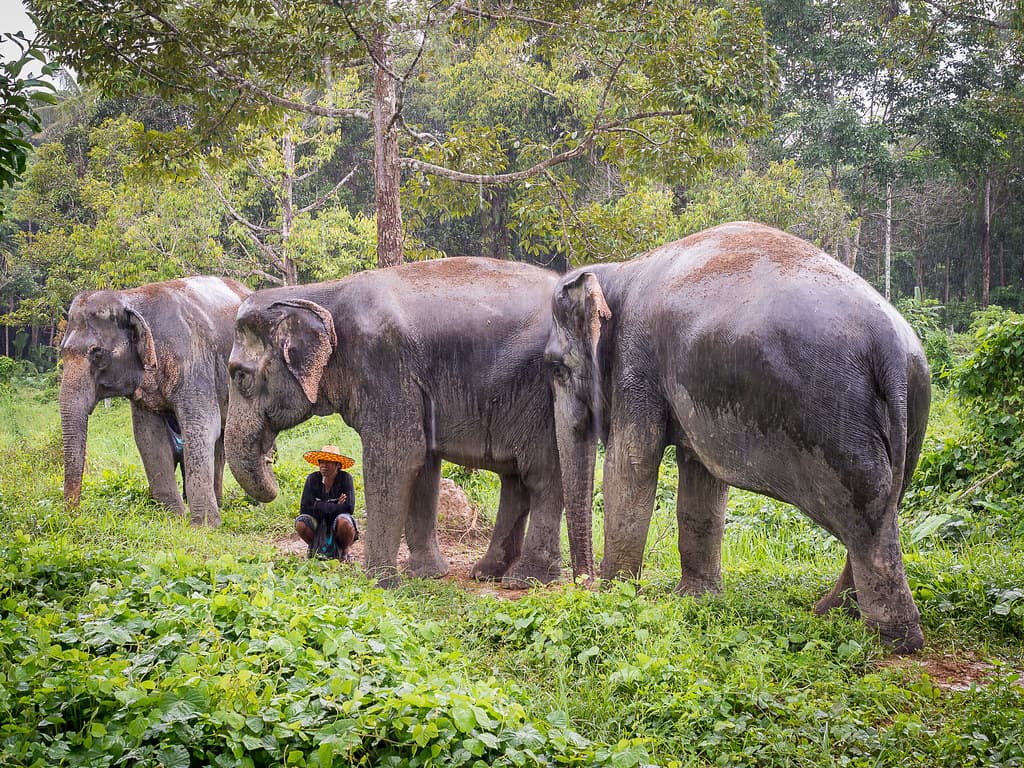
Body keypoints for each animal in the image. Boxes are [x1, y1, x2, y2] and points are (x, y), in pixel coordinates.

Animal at [60, 276, 251, 526]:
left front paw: (204, 526)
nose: (73, 516)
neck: (129, 297)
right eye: (62, 352)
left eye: (97, 353)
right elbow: (149, 437)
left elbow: (201, 427)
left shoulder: (192, 362)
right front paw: (174, 519)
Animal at [224, 257, 584, 586]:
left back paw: (528, 580)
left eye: (240, 376)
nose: (270, 462)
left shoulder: (384, 366)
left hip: (545, 398)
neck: (317, 293)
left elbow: (396, 459)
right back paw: (488, 574)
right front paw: (426, 575)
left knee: (542, 475)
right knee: (516, 479)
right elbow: (423, 465)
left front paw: (379, 583)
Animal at [545, 221, 931, 652]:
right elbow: (701, 479)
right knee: (887, 503)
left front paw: (616, 598)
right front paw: (696, 599)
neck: (617, 271)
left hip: (840, 418)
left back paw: (892, 640)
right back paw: (832, 611)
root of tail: (892, 348)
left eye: (556, 368)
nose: (584, 585)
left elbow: (630, 466)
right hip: (913, 408)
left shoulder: (637, 365)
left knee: (867, 517)